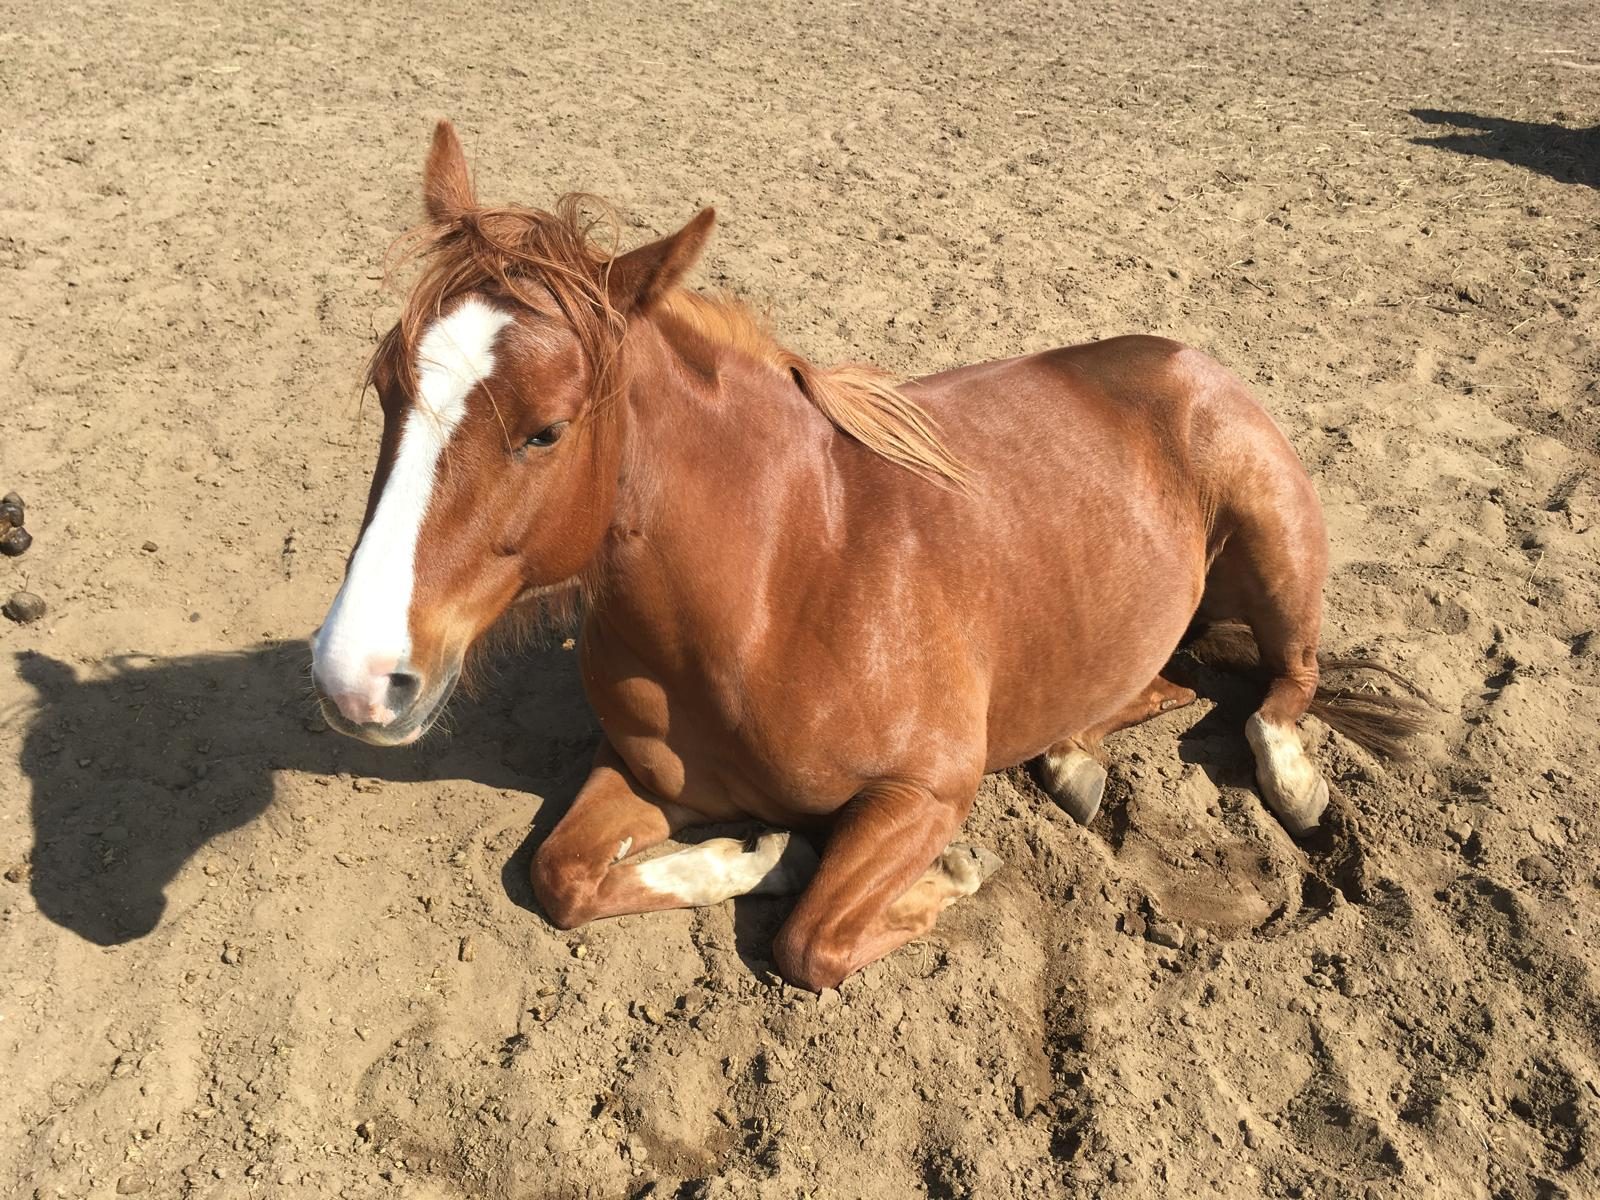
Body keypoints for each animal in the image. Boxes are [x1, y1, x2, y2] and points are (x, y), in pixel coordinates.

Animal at [309, 121, 1424, 991]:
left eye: (544, 430)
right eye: (384, 385)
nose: (355, 679)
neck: (779, 586)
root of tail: (1188, 362)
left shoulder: (921, 795)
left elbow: (811, 942)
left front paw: (948, 878)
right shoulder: (640, 769)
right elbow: (563, 876)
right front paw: (760, 855)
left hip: (1274, 542)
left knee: (1285, 683)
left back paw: (1288, 780)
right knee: (1172, 679)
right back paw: (1070, 754)